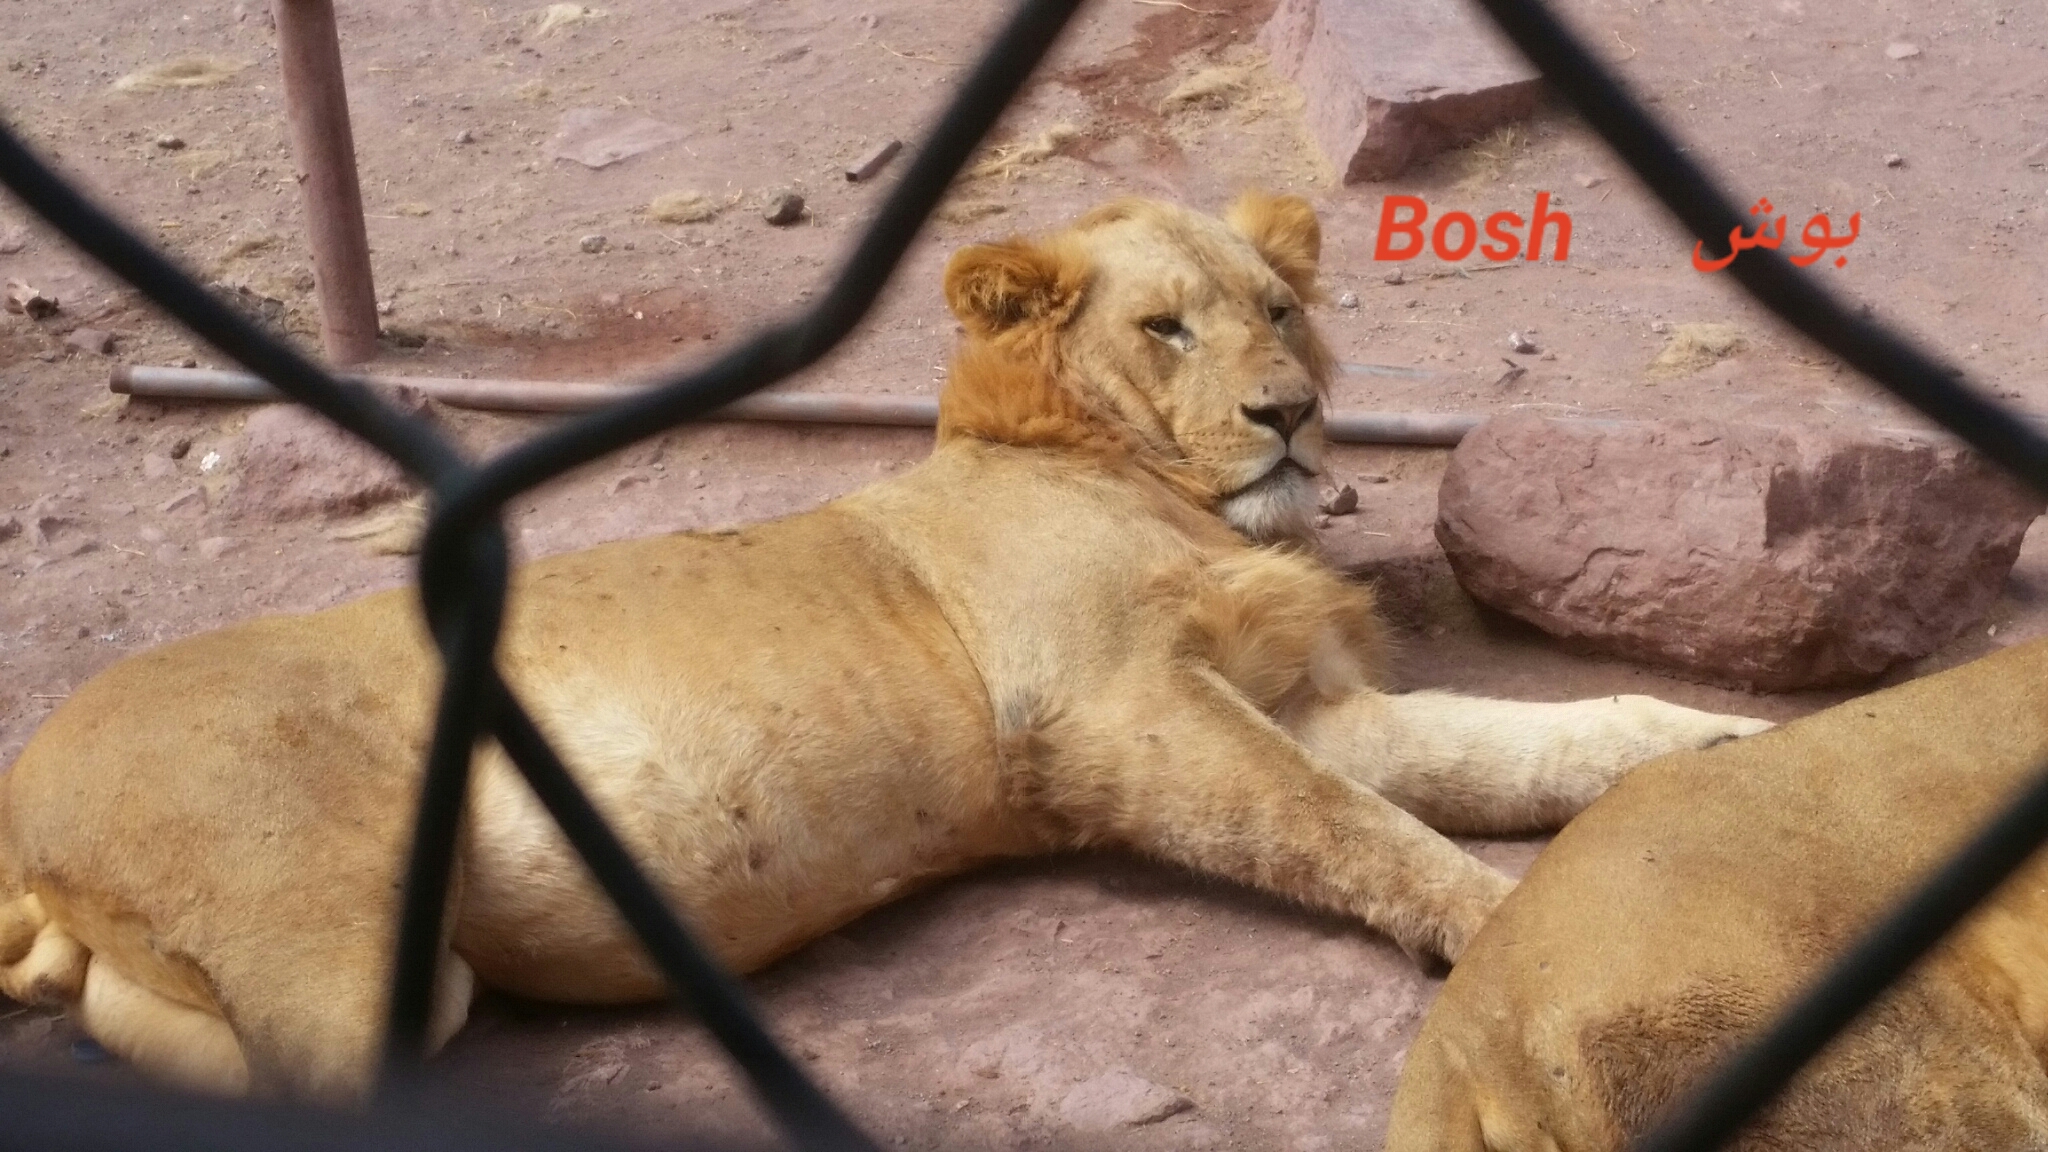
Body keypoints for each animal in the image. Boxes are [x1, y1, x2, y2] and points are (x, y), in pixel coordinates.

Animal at [0, 192, 1761, 1098]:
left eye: (1277, 309)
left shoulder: (1301, 703)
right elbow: (1359, 831)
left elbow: (1540, 742)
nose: (1294, 413)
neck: (1150, 486)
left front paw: (1729, 755)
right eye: (1166, 327)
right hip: (328, 926)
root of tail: (30, 797)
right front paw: (1514, 934)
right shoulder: (1113, 717)